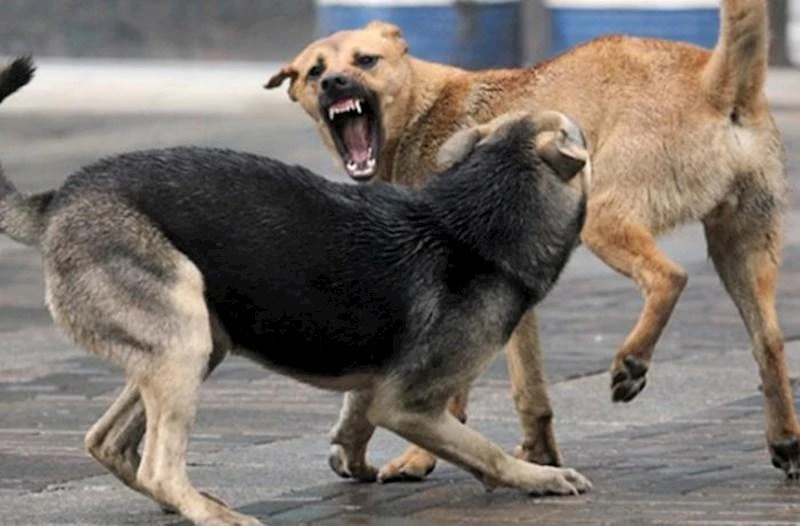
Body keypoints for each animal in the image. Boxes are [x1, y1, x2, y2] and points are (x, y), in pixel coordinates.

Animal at [0, 58, 591, 526]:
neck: (476, 217)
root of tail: (58, 199)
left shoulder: (377, 386)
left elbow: (356, 423)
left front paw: (354, 463)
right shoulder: (407, 404)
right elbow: (483, 450)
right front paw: (539, 477)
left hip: (194, 344)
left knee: (107, 441)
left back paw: (185, 501)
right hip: (183, 339)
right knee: (159, 465)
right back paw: (213, 514)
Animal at [266, 0, 800, 482]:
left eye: (365, 61)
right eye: (315, 72)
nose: (334, 83)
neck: (422, 110)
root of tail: (716, 81)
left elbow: (449, 394)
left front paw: (419, 459)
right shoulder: (514, 297)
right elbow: (530, 388)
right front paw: (539, 456)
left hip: (606, 218)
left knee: (670, 277)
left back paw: (632, 362)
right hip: (743, 246)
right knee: (769, 342)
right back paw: (785, 441)